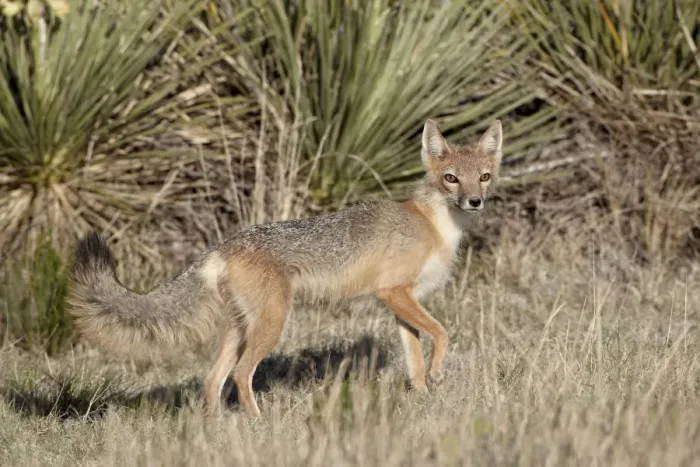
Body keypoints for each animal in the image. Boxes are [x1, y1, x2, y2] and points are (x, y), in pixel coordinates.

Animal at [67, 118, 504, 418]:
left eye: (483, 177)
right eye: (450, 179)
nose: (475, 202)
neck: (434, 225)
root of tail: (223, 245)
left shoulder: (400, 303)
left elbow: (414, 362)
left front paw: (425, 398)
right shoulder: (393, 293)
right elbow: (443, 333)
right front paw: (439, 374)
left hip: (243, 330)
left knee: (213, 379)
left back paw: (216, 429)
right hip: (272, 325)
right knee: (240, 375)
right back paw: (258, 423)